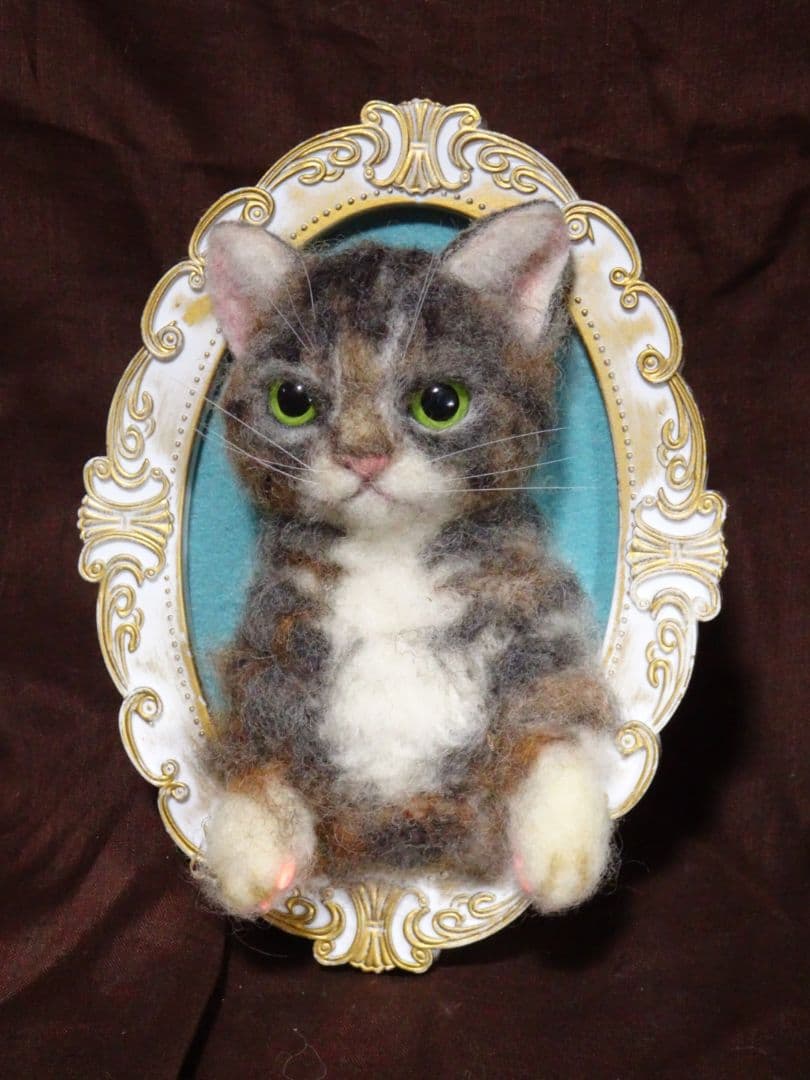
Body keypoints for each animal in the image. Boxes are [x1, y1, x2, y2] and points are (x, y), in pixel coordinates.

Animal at [198, 200, 620, 919]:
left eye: (440, 402)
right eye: (294, 401)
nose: (363, 456)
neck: (389, 561)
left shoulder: (531, 614)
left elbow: (553, 722)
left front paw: (562, 850)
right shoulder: (273, 644)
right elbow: (261, 747)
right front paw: (249, 848)